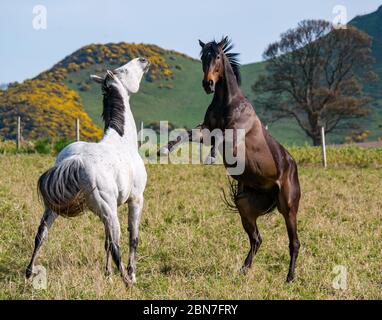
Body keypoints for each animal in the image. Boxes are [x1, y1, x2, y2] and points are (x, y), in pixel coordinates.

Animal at [159, 38, 302, 282]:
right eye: (203, 57)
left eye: (217, 56)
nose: (208, 84)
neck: (227, 102)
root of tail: (292, 167)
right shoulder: (205, 130)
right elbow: (185, 134)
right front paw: (164, 149)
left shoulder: (234, 136)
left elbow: (220, 138)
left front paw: (210, 157)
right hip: (245, 205)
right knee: (256, 238)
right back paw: (244, 270)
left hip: (288, 208)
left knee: (294, 243)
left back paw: (289, 278)